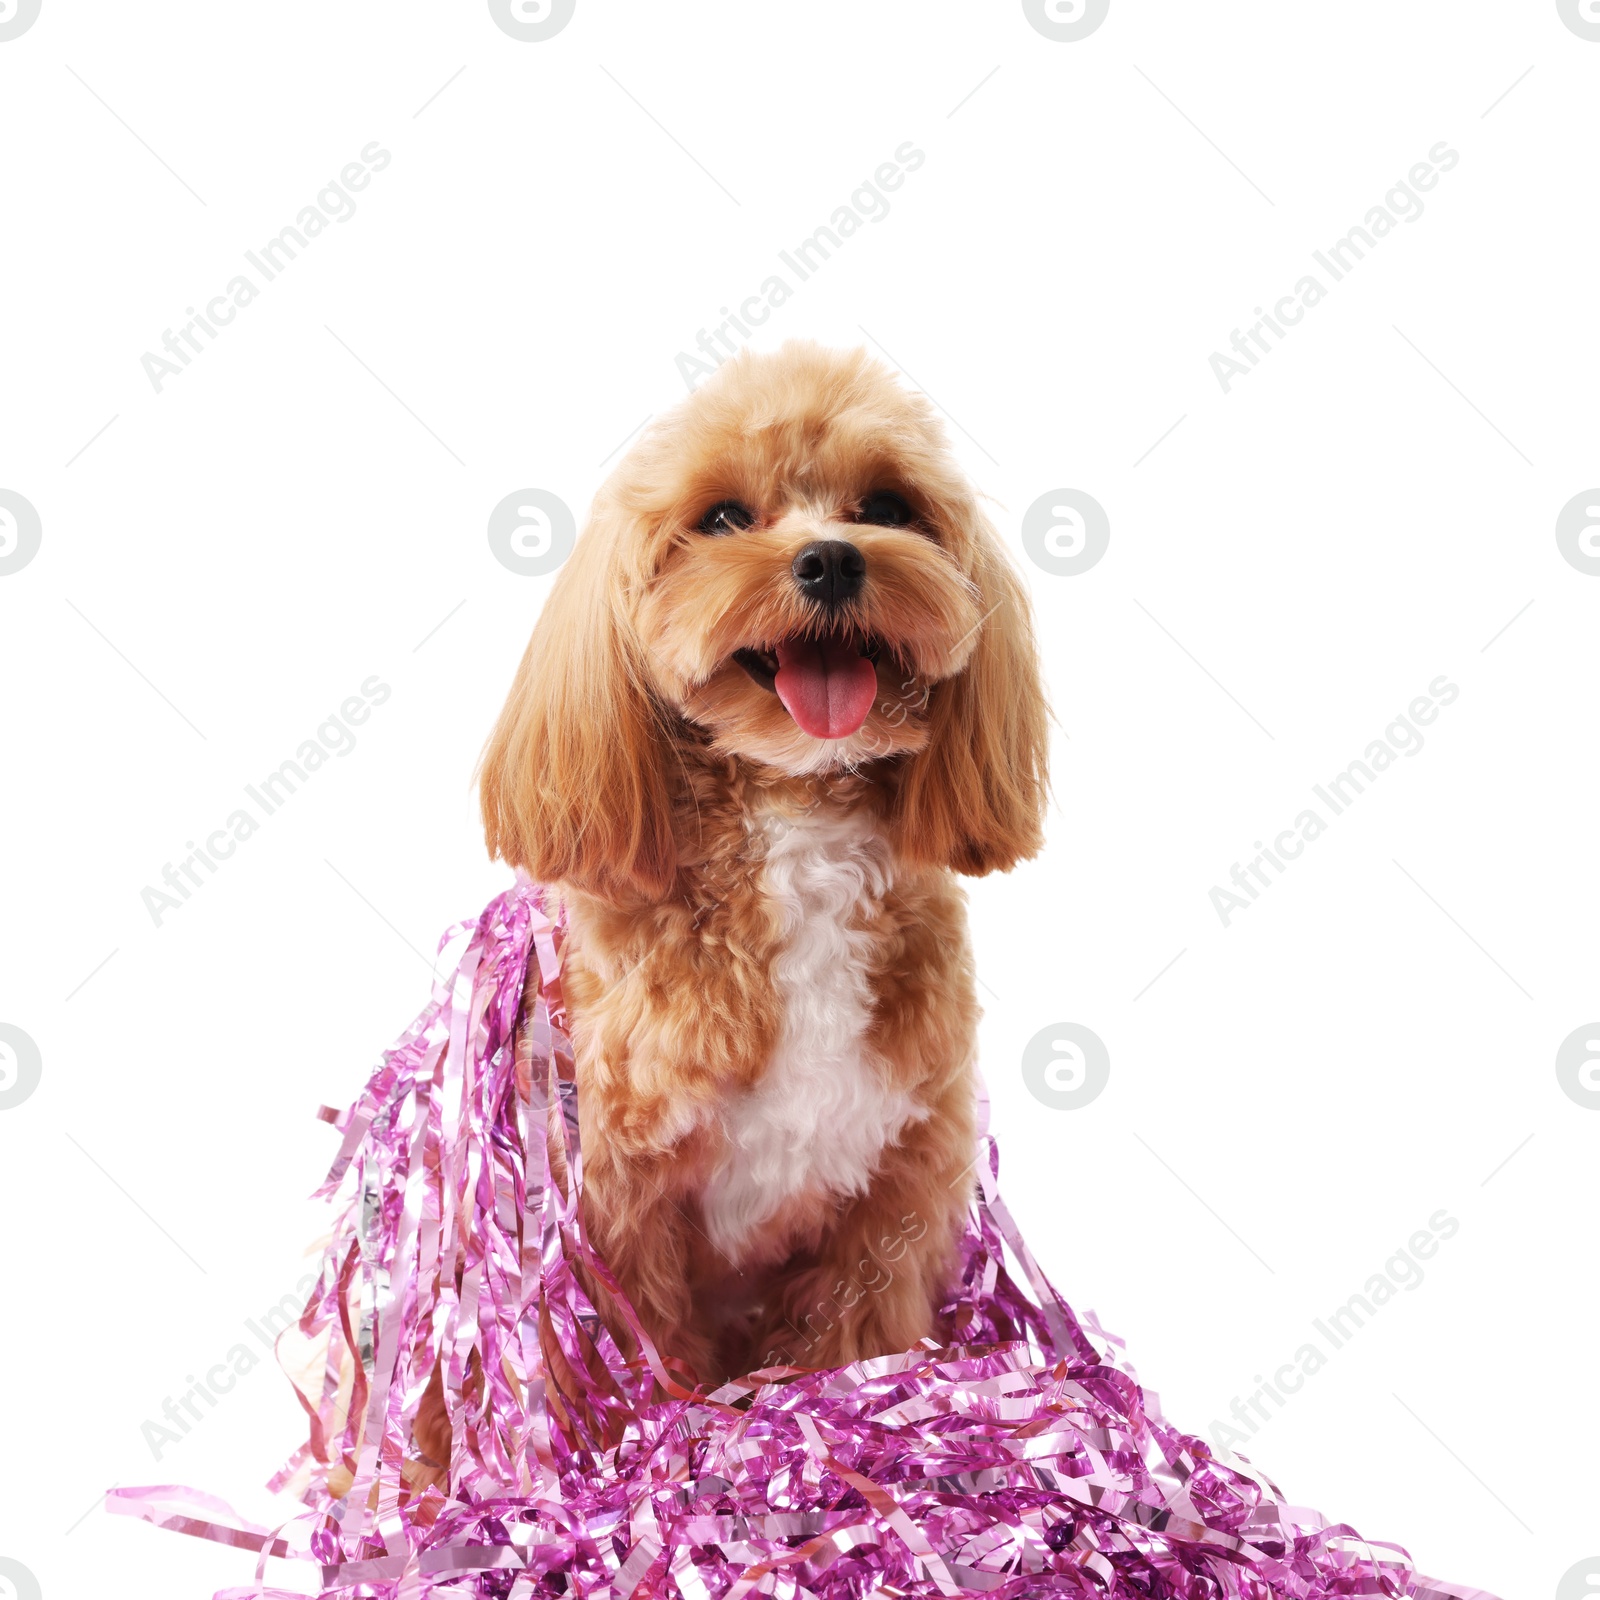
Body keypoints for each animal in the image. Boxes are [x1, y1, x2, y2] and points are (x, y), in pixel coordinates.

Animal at [412, 344, 1049, 1478]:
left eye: (888, 506)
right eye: (720, 519)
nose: (832, 560)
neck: (797, 817)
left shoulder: (890, 1193)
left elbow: (849, 1351)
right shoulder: (609, 1208)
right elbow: (623, 1372)